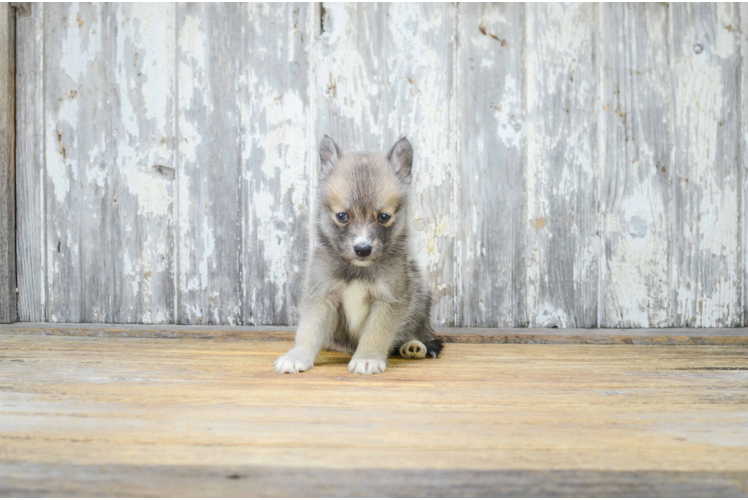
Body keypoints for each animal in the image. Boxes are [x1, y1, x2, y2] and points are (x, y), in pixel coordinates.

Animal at [278, 135, 448, 374]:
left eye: (384, 217)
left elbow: (375, 334)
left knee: (422, 334)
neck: (358, 269)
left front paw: (367, 359)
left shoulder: (387, 300)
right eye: (342, 216)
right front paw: (297, 356)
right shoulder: (322, 295)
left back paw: (414, 346)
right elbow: (309, 330)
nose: (362, 249)